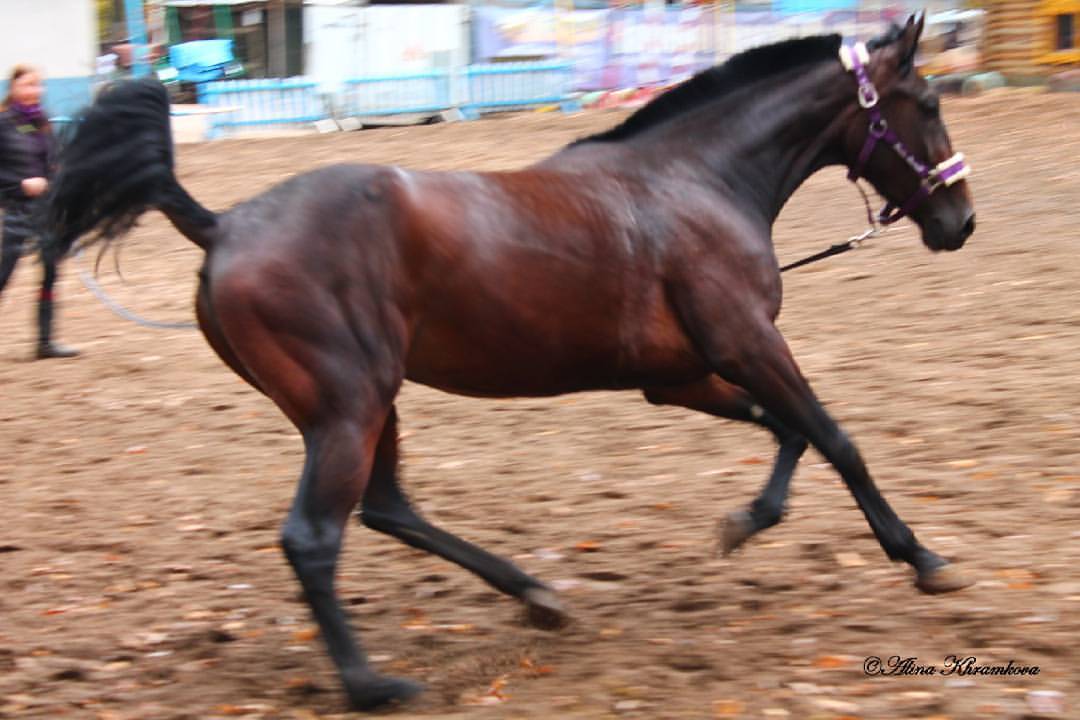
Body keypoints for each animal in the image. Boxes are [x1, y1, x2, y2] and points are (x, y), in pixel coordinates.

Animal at [44, 14, 975, 711]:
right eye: (927, 101)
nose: (960, 220)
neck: (693, 181)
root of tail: (225, 224)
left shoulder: (679, 375)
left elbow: (789, 431)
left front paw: (748, 522)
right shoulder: (748, 342)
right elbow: (835, 436)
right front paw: (921, 558)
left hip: (368, 404)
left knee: (390, 509)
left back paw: (535, 596)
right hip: (349, 405)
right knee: (316, 537)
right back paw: (374, 685)